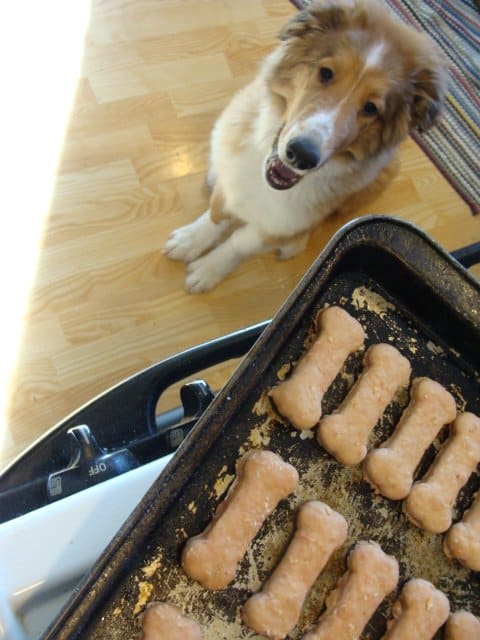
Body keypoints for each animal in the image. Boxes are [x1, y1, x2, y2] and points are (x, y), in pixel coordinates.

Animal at [165, 0, 446, 292]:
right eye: (325, 73)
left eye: (371, 108)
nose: (301, 155)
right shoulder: (232, 173)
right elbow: (218, 212)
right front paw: (190, 240)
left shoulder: (283, 222)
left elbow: (241, 243)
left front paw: (208, 270)